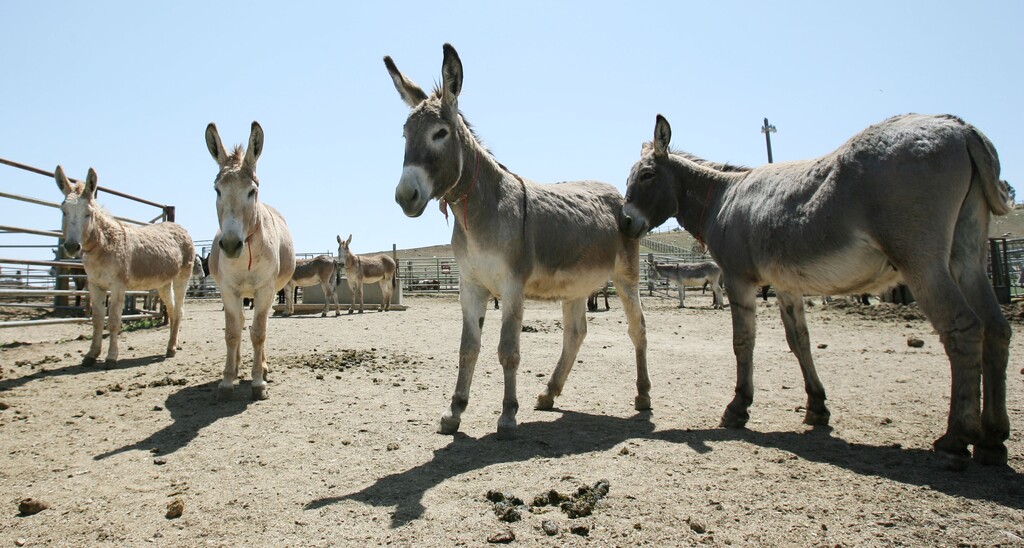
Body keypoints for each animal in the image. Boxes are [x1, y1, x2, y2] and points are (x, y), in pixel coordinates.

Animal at [54, 166, 195, 367]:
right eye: (63, 211)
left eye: (88, 213)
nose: (72, 247)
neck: (103, 244)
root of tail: (180, 227)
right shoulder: (95, 285)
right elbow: (97, 319)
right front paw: (91, 354)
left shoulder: (118, 285)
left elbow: (113, 319)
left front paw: (111, 357)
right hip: (163, 283)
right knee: (172, 309)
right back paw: (170, 346)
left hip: (182, 277)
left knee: (179, 310)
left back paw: (172, 349)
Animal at [205, 121, 296, 401]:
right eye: (217, 191)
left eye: (252, 192)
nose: (230, 244)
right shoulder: (227, 290)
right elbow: (233, 333)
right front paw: (226, 381)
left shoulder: (265, 290)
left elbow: (258, 333)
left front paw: (258, 382)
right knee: (241, 324)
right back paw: (235, 368)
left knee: (259, 328)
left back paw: (263, 368)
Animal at [385, 43, 649, 437]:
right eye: (405, 135)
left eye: (440, 133)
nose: (406, 196)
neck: (480, 211)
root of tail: (615, 192)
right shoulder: (471, 286)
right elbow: (467, 348)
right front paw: (454, 411)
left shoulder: (512, 287)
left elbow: (508, 349)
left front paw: (508, 414)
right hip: (575, 285)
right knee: (575, 333)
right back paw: (549, 393)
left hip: (626, 277)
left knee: (638, 329)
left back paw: (643, 396)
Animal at [619, 113, 1013, 470]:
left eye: (647, 175)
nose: (624, 223)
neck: (723, 199)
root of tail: (961, 128)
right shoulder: (786, 285)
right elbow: (799, 341)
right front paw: (817, 408)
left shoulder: (738, 279)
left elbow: (743, 342)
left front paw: (738, 408)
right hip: (967, 256)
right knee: (996, 328)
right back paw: (992, 440)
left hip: (921, 262)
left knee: (964, 329)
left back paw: (955, 439)